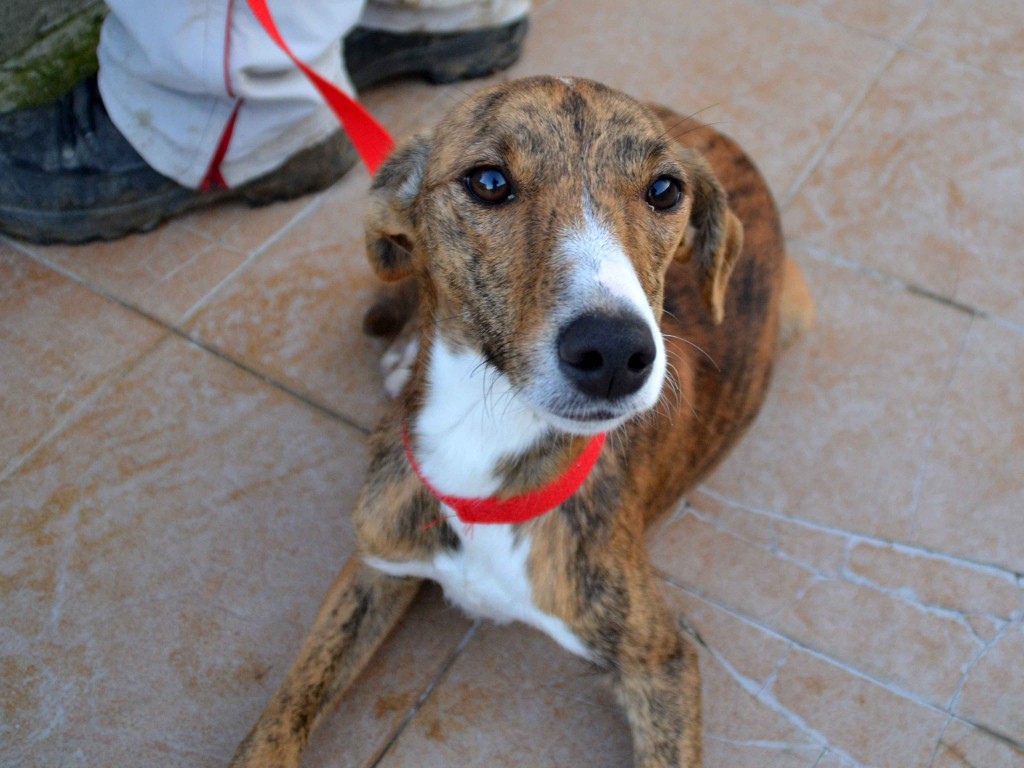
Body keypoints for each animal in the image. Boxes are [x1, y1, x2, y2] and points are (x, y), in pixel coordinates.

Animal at [230, 73, 815, 768]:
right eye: (488, 182)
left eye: (665, 191)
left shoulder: (660, 661)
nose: (614, 353)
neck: (484, 439)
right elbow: (282, 715)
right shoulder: (375, 561)